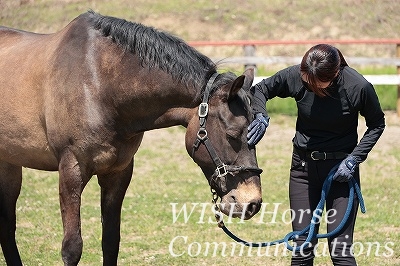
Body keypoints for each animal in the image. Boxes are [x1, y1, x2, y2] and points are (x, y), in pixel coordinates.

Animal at [0, 11, 262, 264]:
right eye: (232, 134)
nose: (251, 203)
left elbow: (111, 242)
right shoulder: (71, 170)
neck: (98, 84)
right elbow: (72, 248)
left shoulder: (118, 173)